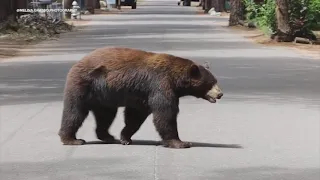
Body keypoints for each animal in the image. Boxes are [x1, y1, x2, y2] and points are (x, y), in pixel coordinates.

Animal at [58, 47, 222, 148]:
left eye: (215, 81)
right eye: (211, 83)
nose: (220, 94)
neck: (176, 80)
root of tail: (77, 63)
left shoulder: (142, 95)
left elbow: (135, 115)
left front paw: (125, 138)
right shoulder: (160, 85)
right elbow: (165, 113)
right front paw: (181, 142)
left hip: (104, 97)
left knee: (106, 115)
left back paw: (107, 136)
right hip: (84, 85)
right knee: (74, 112)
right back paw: (72, 139)